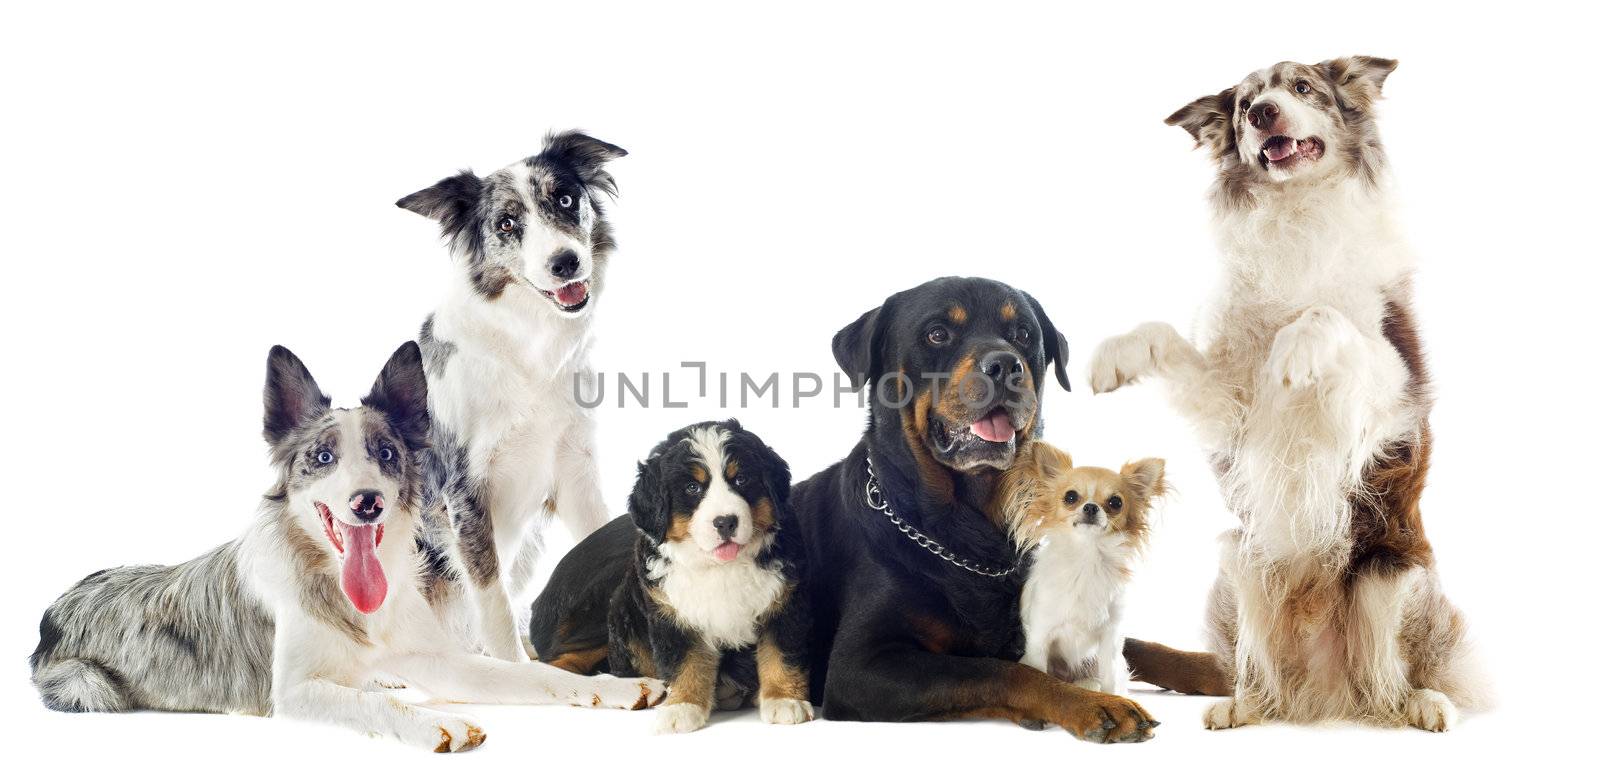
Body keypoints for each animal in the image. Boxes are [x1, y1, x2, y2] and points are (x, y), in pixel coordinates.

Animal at [531, 419, 812, 733]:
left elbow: (780, 654)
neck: (720, 567)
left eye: (741, 480)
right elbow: (685, 661)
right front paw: (682, 707)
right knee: (559, 659)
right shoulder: (672, 612)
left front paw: (784, 700)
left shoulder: (784, 603)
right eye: (692, 488)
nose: (726, 522)